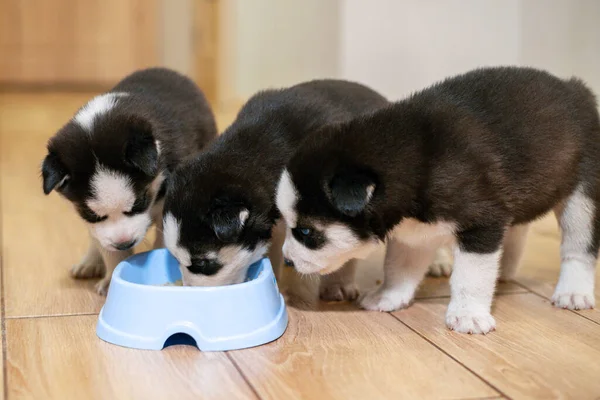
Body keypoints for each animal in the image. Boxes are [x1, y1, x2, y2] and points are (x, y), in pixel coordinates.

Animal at [42, 68, 217, 294]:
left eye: (139, 203)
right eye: (93, 215)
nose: (124, 243)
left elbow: (163, 240)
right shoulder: (98, 227)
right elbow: (107, 247)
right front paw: (111, 279)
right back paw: (90, 261)